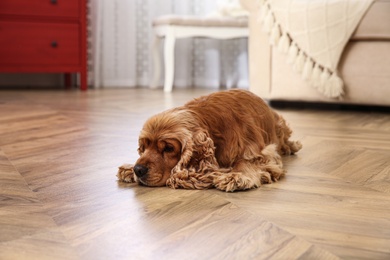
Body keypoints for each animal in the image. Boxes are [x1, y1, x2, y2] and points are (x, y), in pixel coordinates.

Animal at [117, 89, 304, 191]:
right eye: (143, 147)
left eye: (169, 148)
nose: (138, 170)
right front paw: (128, 168)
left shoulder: (262, 152)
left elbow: (246, 161)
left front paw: (236, 176)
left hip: (280, 129)